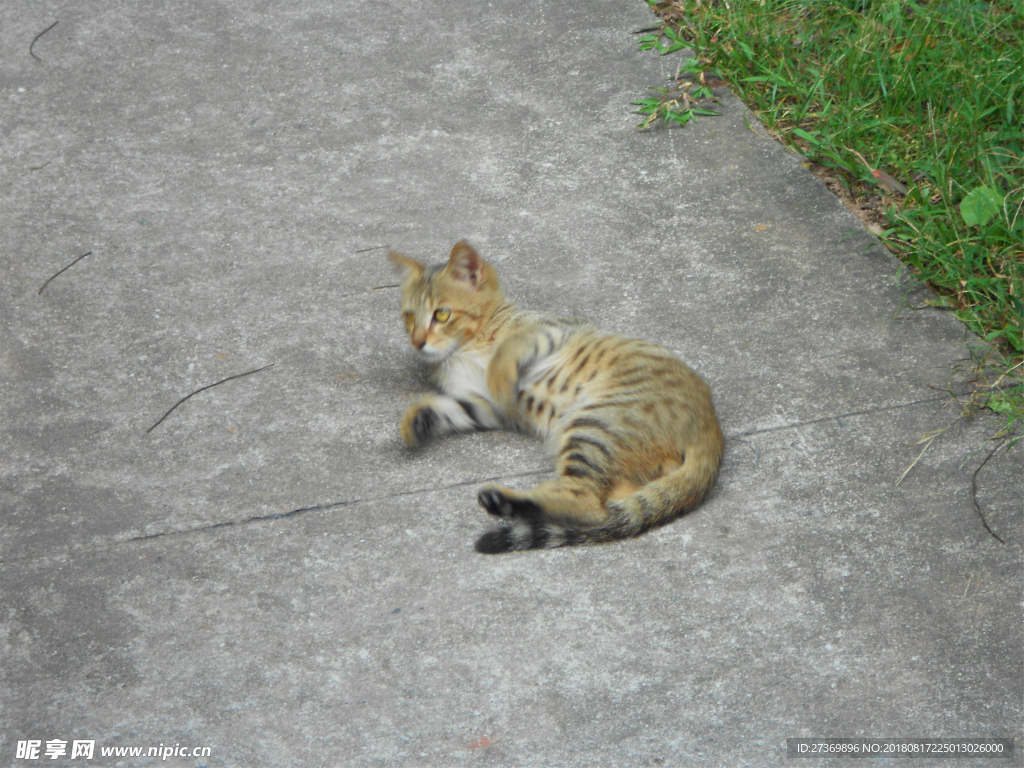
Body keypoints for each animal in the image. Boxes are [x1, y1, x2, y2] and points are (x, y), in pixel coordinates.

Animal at [387, 240, 724, 552]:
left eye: (442, 315)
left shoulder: (551, 328)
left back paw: (508, 502)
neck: (464, 349)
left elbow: (506, 350)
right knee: (605, 503)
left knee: (589, 504)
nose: (418, 342)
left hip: (596, 424)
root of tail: (711, 431)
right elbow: (448, 408)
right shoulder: (488, 407)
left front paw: (497, 372)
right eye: (409, 317)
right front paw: (416, 419)